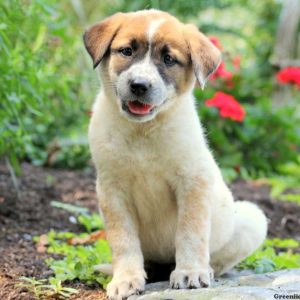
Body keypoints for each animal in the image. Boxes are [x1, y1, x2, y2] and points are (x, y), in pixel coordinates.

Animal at [82, 9, 268, 300]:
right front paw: (126, 279)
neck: (143, 131)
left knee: (218, 259)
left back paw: (205, 269)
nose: (139, 85)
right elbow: (123, 239)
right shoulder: (111, 189)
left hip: (251, 217)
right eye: (126, 51)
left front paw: (190, 272)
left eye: (169, 59)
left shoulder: (193, 181)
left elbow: (190, 232)